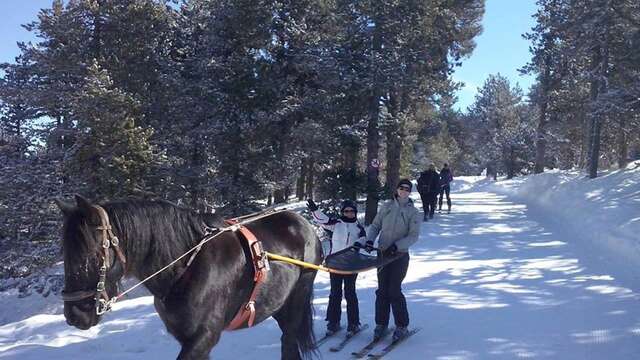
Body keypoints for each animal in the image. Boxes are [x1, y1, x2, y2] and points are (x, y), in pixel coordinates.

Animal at [57, 195, 322, 358]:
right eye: (65, 253)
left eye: (92, 255)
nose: (75, 314)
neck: (185, 268)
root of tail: (303, 223)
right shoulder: (187, 339)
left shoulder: (202, 339)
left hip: (298, 298)